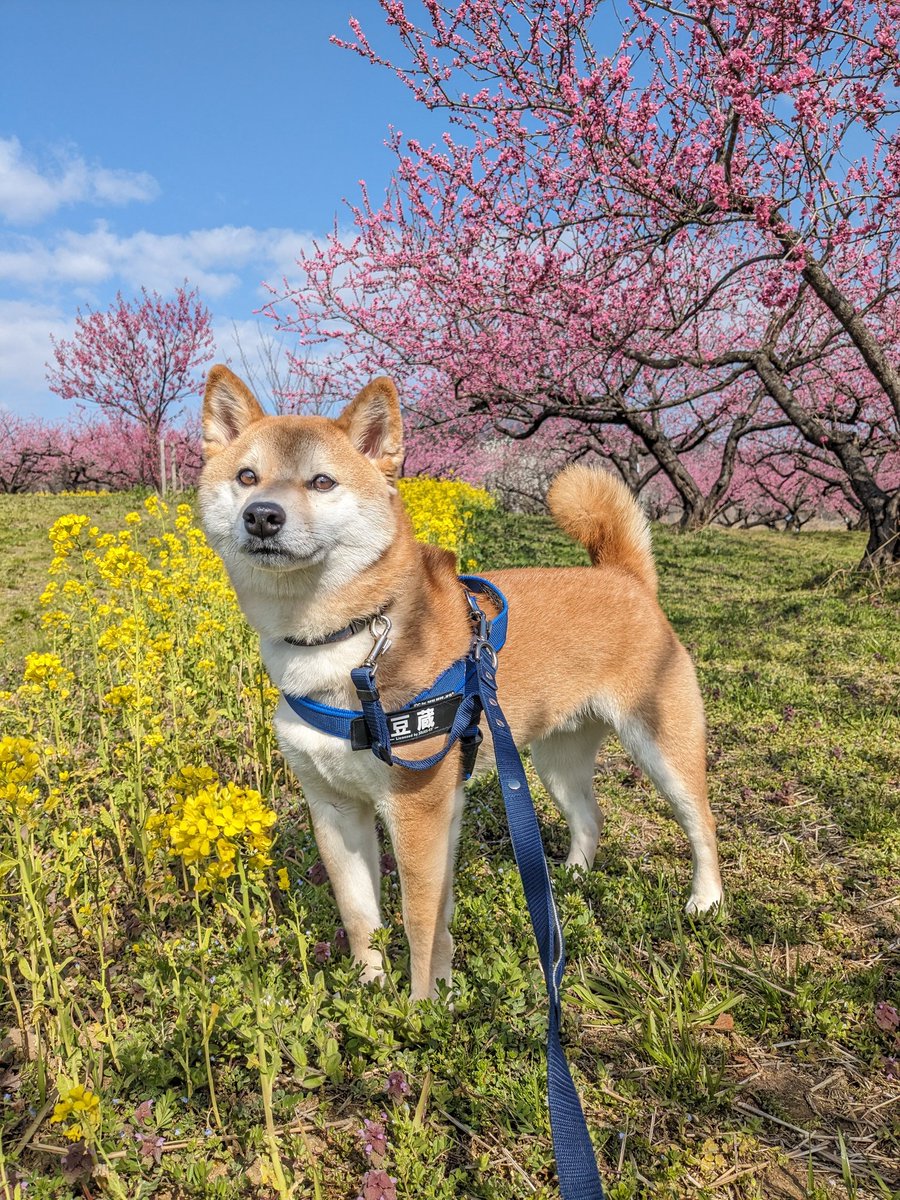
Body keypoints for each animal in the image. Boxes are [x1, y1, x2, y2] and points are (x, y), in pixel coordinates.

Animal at [199, 367, 724, 1003]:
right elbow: (361, 916)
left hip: (663, 746)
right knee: (589, 818)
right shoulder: (335, 807)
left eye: (322, 481)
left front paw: (425, 1004)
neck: (349, 639)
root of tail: (626, 578)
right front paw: (370, 985)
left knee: (702, 823)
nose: (262, 515)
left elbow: (420, 921)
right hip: (553, 761)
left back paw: (704, 900)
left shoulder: (417, 805)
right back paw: (564, 885)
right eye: (246, 476)